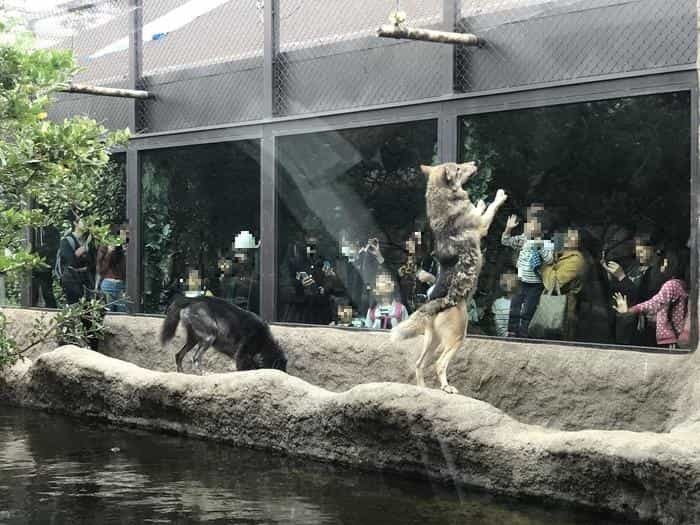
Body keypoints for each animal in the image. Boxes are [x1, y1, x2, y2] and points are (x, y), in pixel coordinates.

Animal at [388, 162, 508, 390]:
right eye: (459, 168)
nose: (475, 164)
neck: (445, 200)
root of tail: (432, 303)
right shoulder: (482, 226)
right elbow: (492, 207)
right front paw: (498, 196)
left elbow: (481, 207)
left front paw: (480, 201)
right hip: (458, 336)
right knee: (439, 364)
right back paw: (447, 388)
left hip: (433, 342)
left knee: (419, 364)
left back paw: (424, 390)